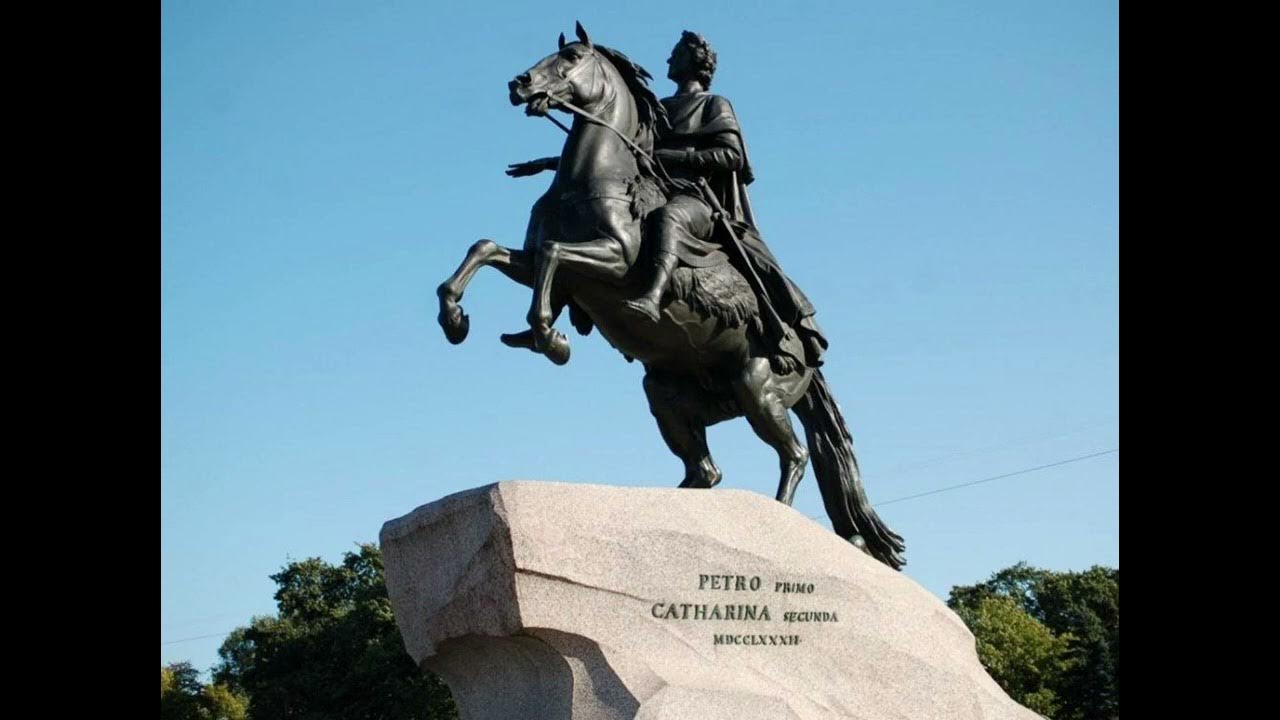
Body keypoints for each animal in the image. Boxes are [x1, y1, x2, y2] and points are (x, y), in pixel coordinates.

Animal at [435, 25, 906, 568]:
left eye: (571, 57)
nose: (520, 83)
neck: (594, 180)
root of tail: (810, 357)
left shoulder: (614, 262)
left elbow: (555, 257)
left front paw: (550, 337)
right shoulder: (530, 262)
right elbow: (485, 249)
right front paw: (456, 319)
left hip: (758, 388)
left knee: (795, 455)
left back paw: (779, 520)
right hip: (666, 394)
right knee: (707, 472)